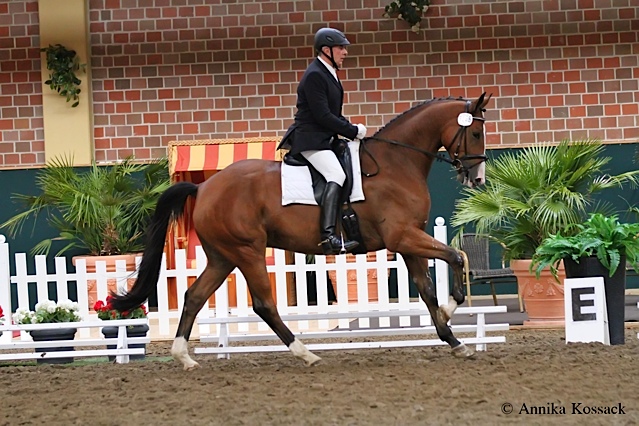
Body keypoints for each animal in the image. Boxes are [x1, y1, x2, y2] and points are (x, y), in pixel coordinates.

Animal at [112, 92, 492, 370]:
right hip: (248, 251)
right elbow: (456, 257)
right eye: (475, 133)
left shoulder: (409, 240)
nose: (477, 179)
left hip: (223, 256)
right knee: (264, 304)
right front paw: (451, 313)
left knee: (193, 296)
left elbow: (428, 289)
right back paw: (305, 352)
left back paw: (184, 357)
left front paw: (453, 338)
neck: (397, 163)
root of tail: (203, 188)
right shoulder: (403, 237)